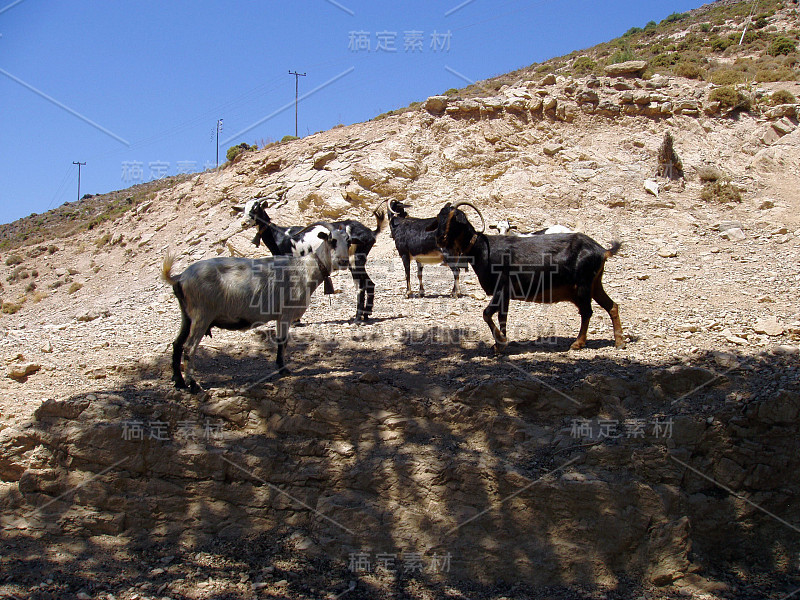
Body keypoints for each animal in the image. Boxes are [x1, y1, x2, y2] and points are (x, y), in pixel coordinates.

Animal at [161, 223, 348, 392]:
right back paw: (193, 385)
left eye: (348, 240)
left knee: (177, 344)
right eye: (332, 240)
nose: (344, 261)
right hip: (202, 314)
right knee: (189, 347)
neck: (305, 269)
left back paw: (179, 382)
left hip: (187, 315)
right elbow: (283, 341)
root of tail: (180, 278)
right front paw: (283, 369)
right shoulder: (285, 313)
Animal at [242, 199, 382, 322]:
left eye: (256, 208)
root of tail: (371, 233)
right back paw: (366, 315)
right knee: (369, 283)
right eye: (244, 209)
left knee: (361, 286)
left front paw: (296, 320)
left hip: (354, 260)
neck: (279, 235)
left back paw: (358, 318)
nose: (243, 223)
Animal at [424, 203, 624, 350]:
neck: (482, 249)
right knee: (612, 306)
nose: (440, 238)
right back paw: (619, 342)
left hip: (583, 285)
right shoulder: (505, 294)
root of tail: (601, 250)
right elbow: (502, 317)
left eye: (454, 218)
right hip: (595, 284)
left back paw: (578, 343)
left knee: (587, 312)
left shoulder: (501, 288)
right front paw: (499, 346)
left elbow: (487, 314)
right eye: (439, 218)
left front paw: (501, 342)